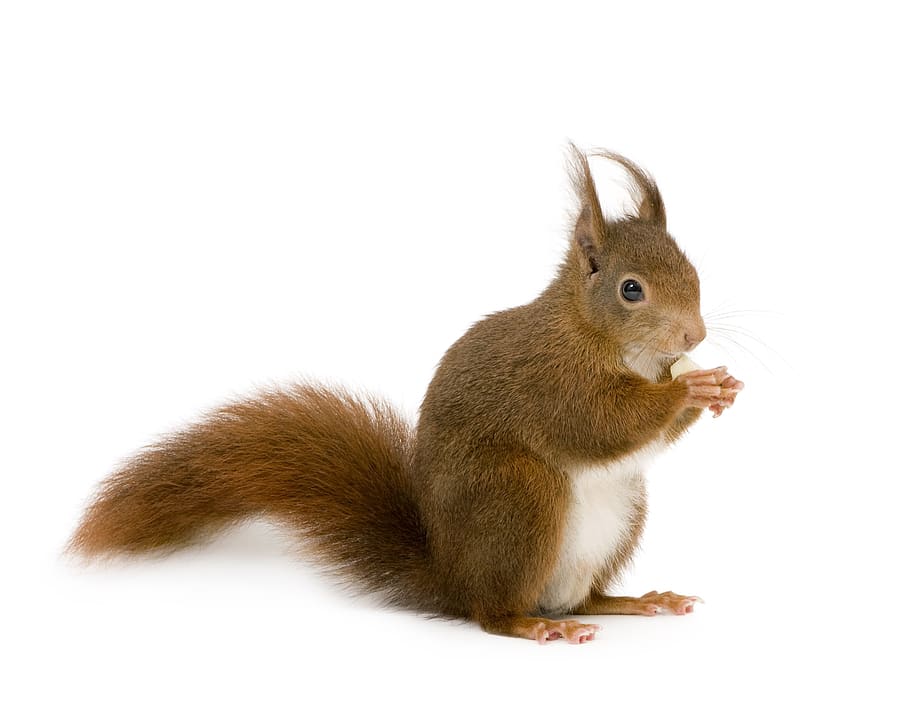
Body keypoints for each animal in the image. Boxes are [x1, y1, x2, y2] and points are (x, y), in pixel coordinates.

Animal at [70, 146, 744, 644]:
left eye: (691, 269)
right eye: (632, 290)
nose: (694, 336)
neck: (598, 335)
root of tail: (451, 576)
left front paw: (720, 387)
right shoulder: (551, 380)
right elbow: (600, 423)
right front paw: (691, 385)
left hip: (620, 514)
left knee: (584, 598)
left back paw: (634, 600)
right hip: (519, 498)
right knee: (493, 613)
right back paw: (530, 624)